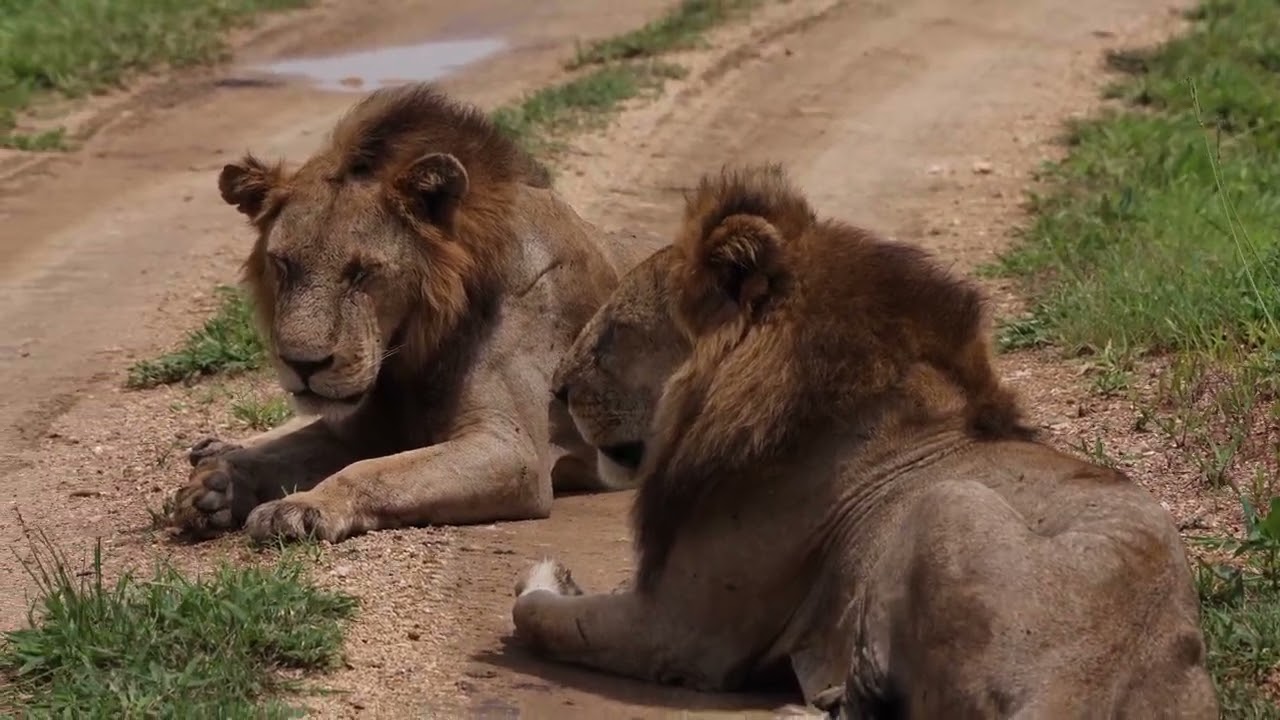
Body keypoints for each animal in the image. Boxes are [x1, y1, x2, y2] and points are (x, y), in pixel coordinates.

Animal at [167, 83, 663, 543]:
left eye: (362, 272)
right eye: (283, 263)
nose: (302, 365)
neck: (406, 355)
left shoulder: (513, 450)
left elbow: (373, 470)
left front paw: (300, 507)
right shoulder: (359, 427)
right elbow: (293, 452)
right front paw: (219, 486)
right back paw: (215, 450)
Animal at [511, 165, 1218, 718]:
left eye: (612, 334)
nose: (555, 391)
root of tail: (1092, 671)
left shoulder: (681, 629)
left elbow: (539, 619)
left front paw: (546, 578)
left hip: (949, 502)